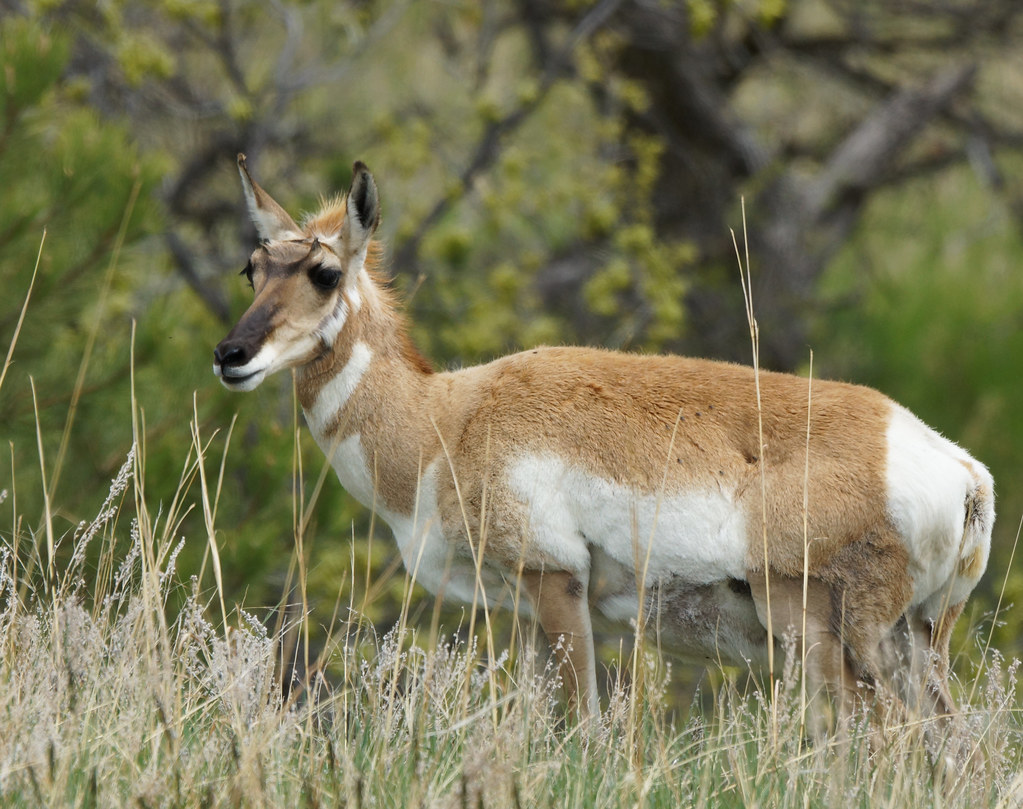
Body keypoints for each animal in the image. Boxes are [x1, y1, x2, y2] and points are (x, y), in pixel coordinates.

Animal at [214, 155, 994, 733]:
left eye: (324, 273)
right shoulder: (527, 613)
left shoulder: (555, 581)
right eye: (252, 268)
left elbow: (584, 725)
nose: (230, 355)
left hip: (822, 633)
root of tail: (959, 470)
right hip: (912, 646)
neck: (449, 418)